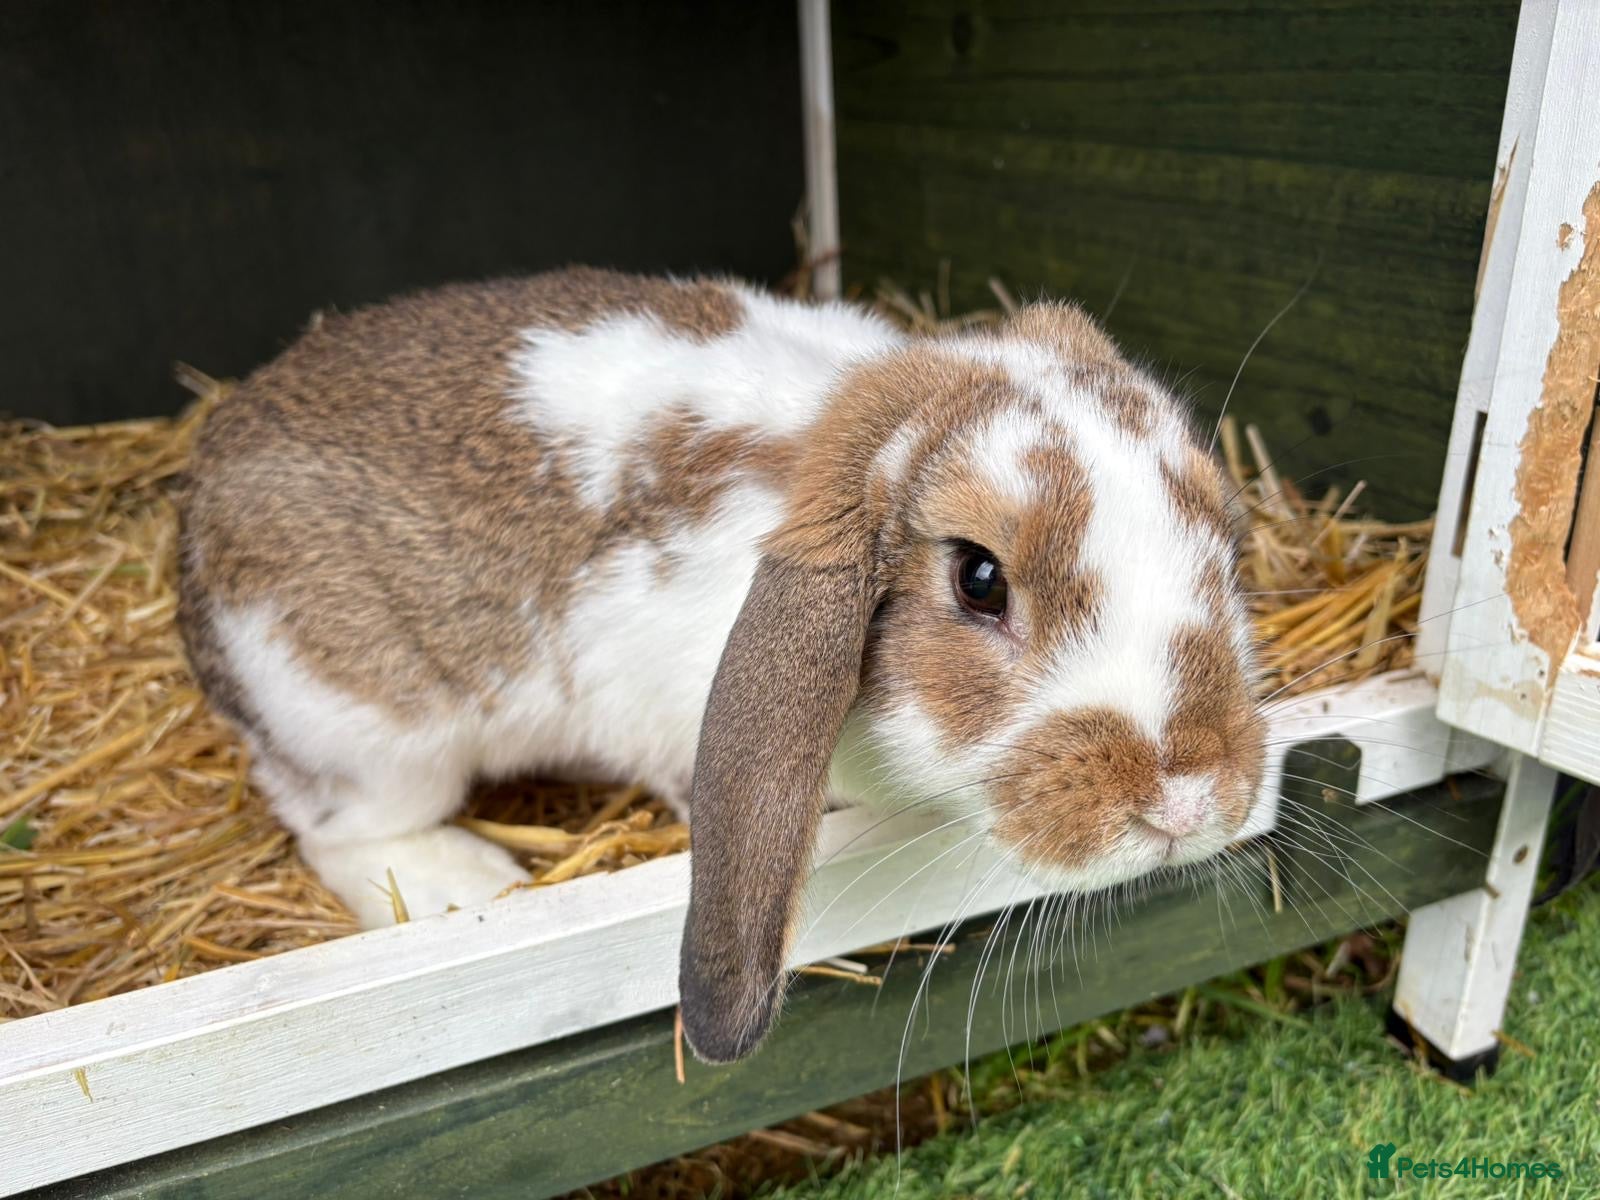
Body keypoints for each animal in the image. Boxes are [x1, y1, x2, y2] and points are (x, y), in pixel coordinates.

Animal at [178, 267, 1266, 1063]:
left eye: (1221, 537)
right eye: (979, 579)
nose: (1184, 802)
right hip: (369, 730)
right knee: (338, 832)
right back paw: (465, 881)